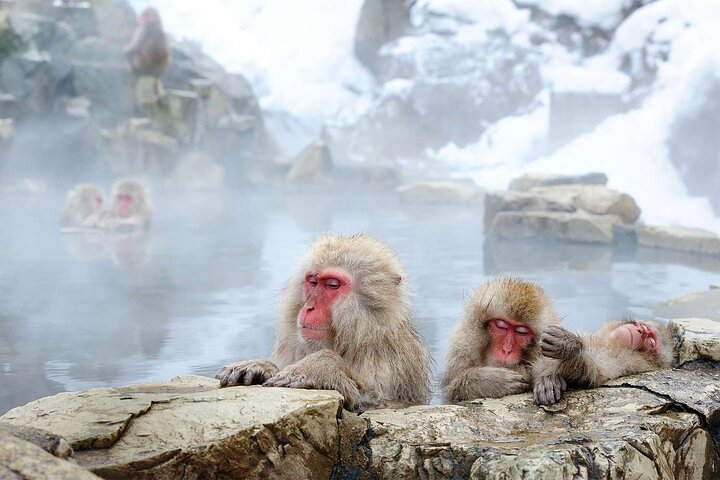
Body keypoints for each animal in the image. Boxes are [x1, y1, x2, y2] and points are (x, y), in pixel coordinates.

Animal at [215, 234, 432, 411]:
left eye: (332, 285)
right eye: (312, 281)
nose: (309, 307)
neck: (356, 337)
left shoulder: (388, 358)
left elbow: (374, 401)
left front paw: (319, 368)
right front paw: (261, 366)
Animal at [533, 319, 673, 406]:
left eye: (651, 339)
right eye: (642, 326)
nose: (641, 331)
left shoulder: (627, 360)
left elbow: (593, 372)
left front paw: (568, 346)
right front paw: (547, 378)